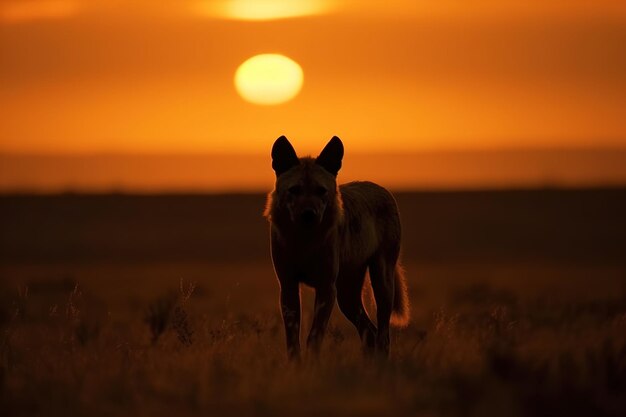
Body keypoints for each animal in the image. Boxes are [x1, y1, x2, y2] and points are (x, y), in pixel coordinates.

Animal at [264, 136, 408, 358]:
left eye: (321, 191)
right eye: (294, 190)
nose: (309, 214)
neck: (305, 242)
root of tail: (381, 189)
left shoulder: (326, 288)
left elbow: (314, 337)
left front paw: (313, 364)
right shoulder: (288, 286)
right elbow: (293, 341)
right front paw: (296, 365)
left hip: (380, 284)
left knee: (383, 336)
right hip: (347, 296)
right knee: (370, 332)